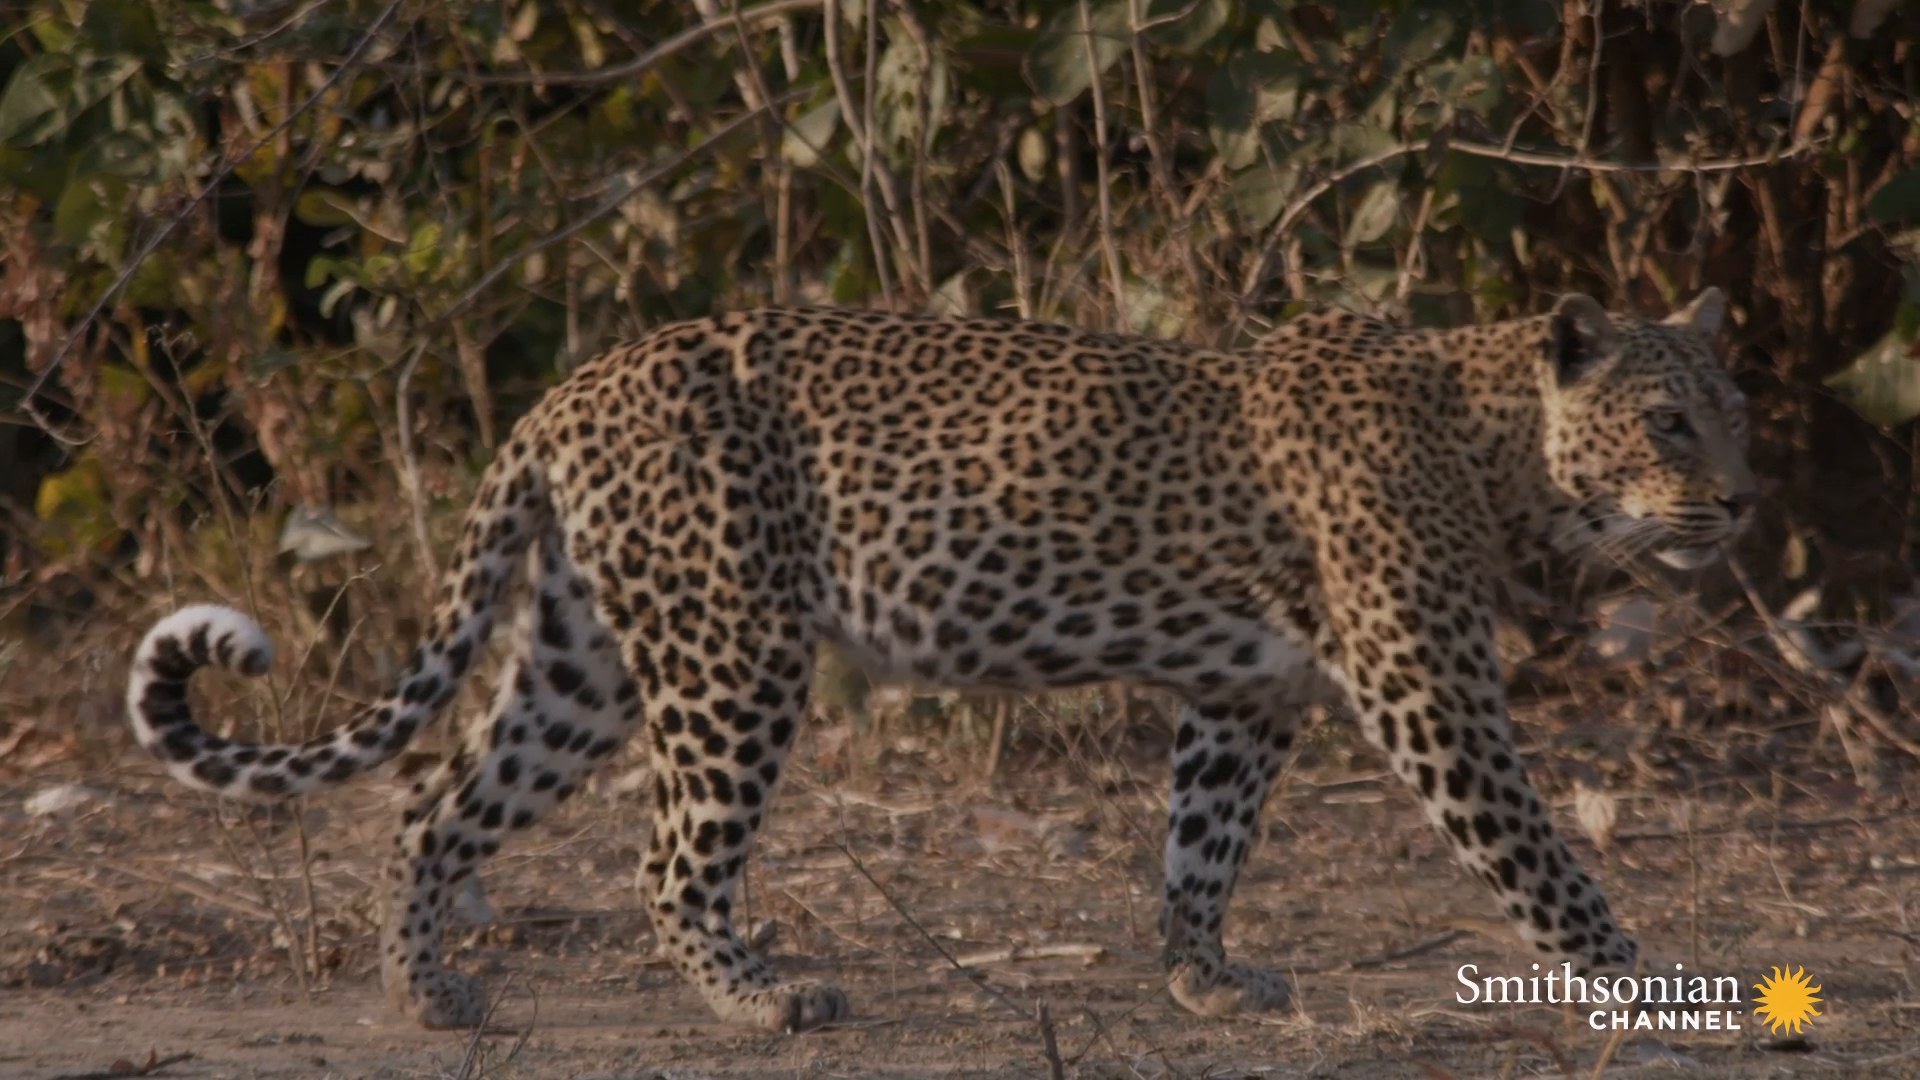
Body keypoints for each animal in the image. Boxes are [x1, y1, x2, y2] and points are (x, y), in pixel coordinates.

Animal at [126, 288, 1753, 1033]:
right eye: (1669, 421)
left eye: (1727, 413)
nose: (1742, 500)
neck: (1501, 450)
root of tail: (575, 386)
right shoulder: (1429, 688)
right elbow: (1537, 854)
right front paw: (1643, 984)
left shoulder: (1244, 698)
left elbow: (1203, 844)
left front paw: (1203, 978)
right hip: (733, 649)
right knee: (668, 860)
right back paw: (760, 1000)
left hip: (582, 664)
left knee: (433, 804)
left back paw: (432, 1000)